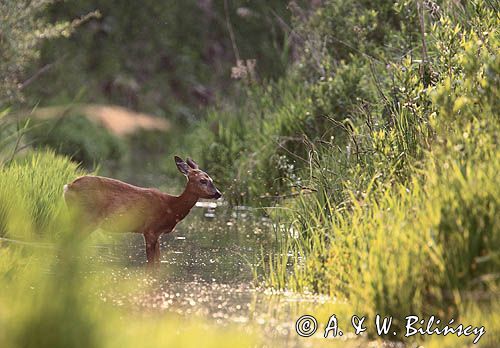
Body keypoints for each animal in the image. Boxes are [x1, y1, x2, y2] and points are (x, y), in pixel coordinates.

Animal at [62, 156, 221, 268]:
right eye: (202, 180)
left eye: (212, 179)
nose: (218, 193)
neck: (171, 207)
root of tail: (68, 187)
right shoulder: (150, 229)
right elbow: (151, 264)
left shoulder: (157, 234)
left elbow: (158, 262)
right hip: (87, 217)